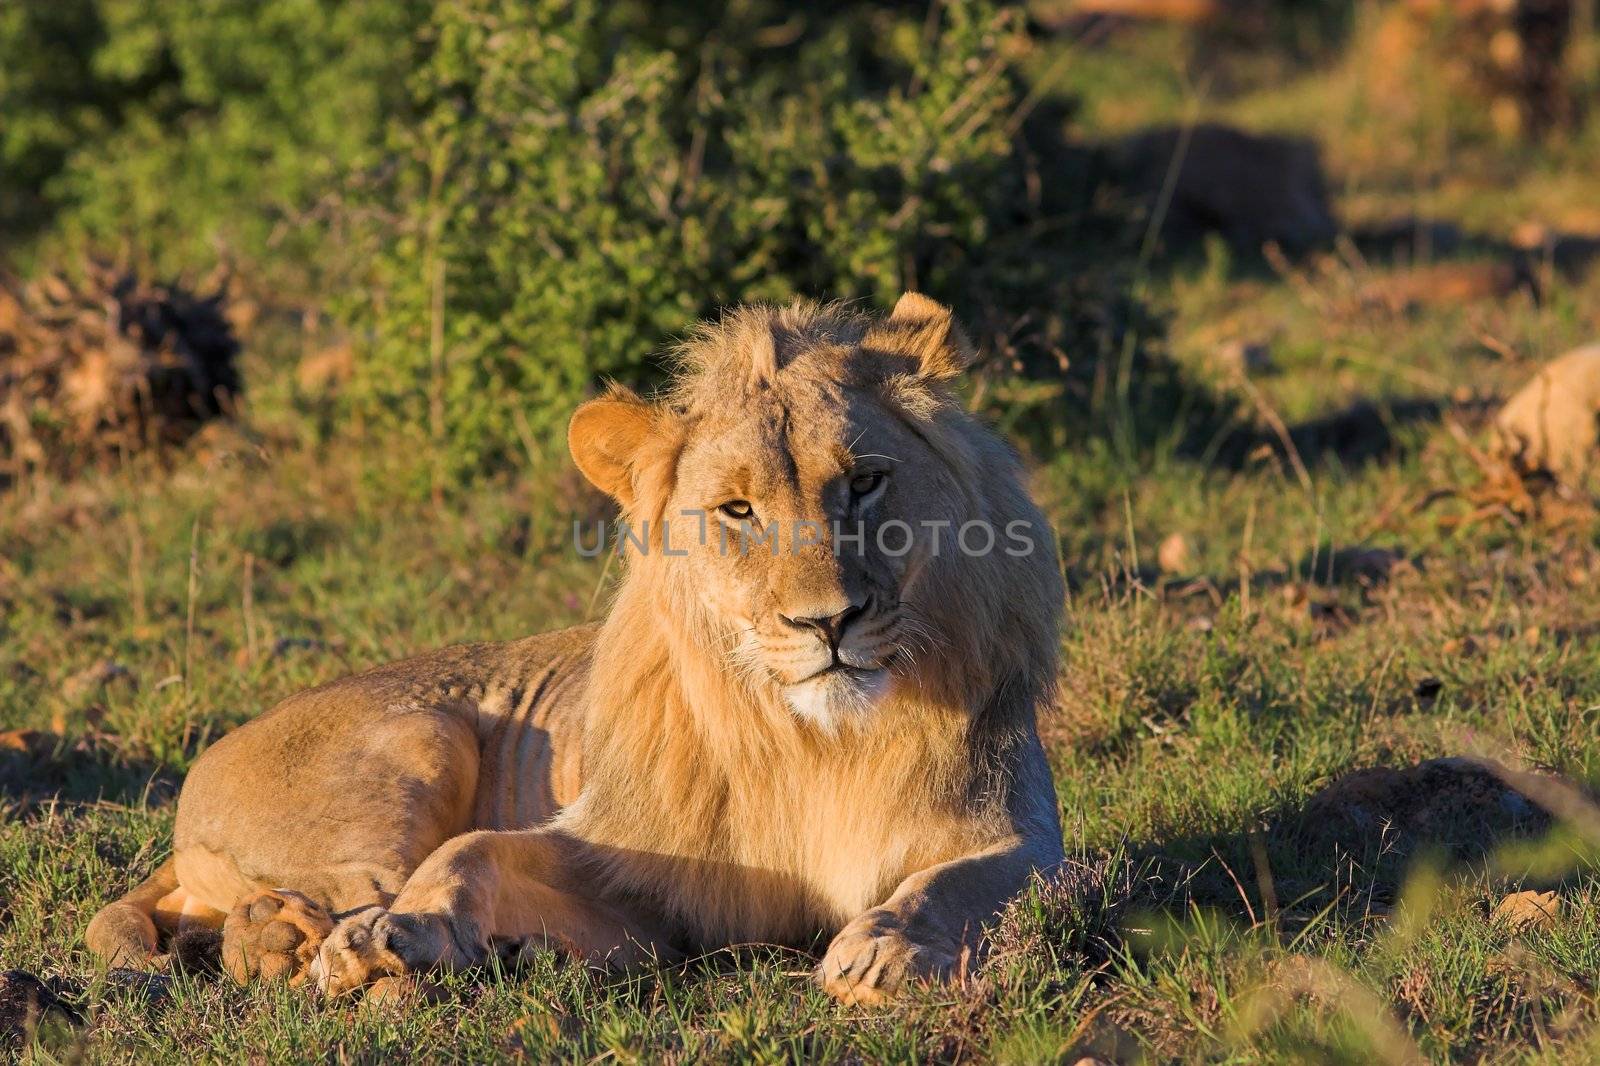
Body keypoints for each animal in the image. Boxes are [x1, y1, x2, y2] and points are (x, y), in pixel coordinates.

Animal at [84, 292, 1062, 1005]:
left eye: (864, 483)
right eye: (737, 509)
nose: (827, 623)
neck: (814, 743)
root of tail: (196, 782)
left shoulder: (1027, 837)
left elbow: (965, 882)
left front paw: (885, 949)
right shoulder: (625, 866)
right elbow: (470, 852)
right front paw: (393, 938)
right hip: (420, 739)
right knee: (303, 900)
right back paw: (304, 941)